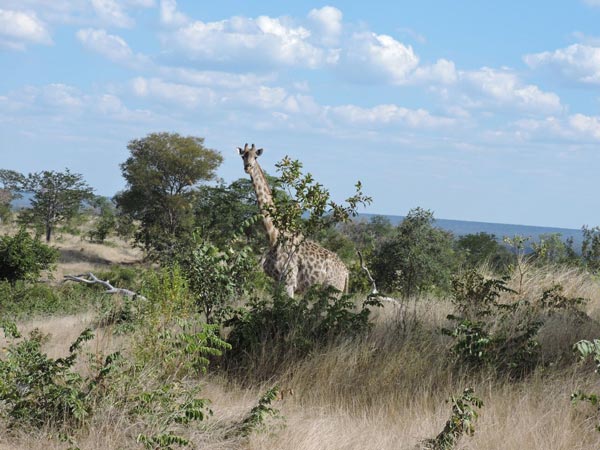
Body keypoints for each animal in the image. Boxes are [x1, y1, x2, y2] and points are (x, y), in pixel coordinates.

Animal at [237, 144, 350, 298]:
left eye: (256, 157)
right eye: (243, 155)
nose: (247, 167)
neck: (274, 236)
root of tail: (346, 273)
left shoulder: (289, 282)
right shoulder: (277, 281)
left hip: (332, 291)